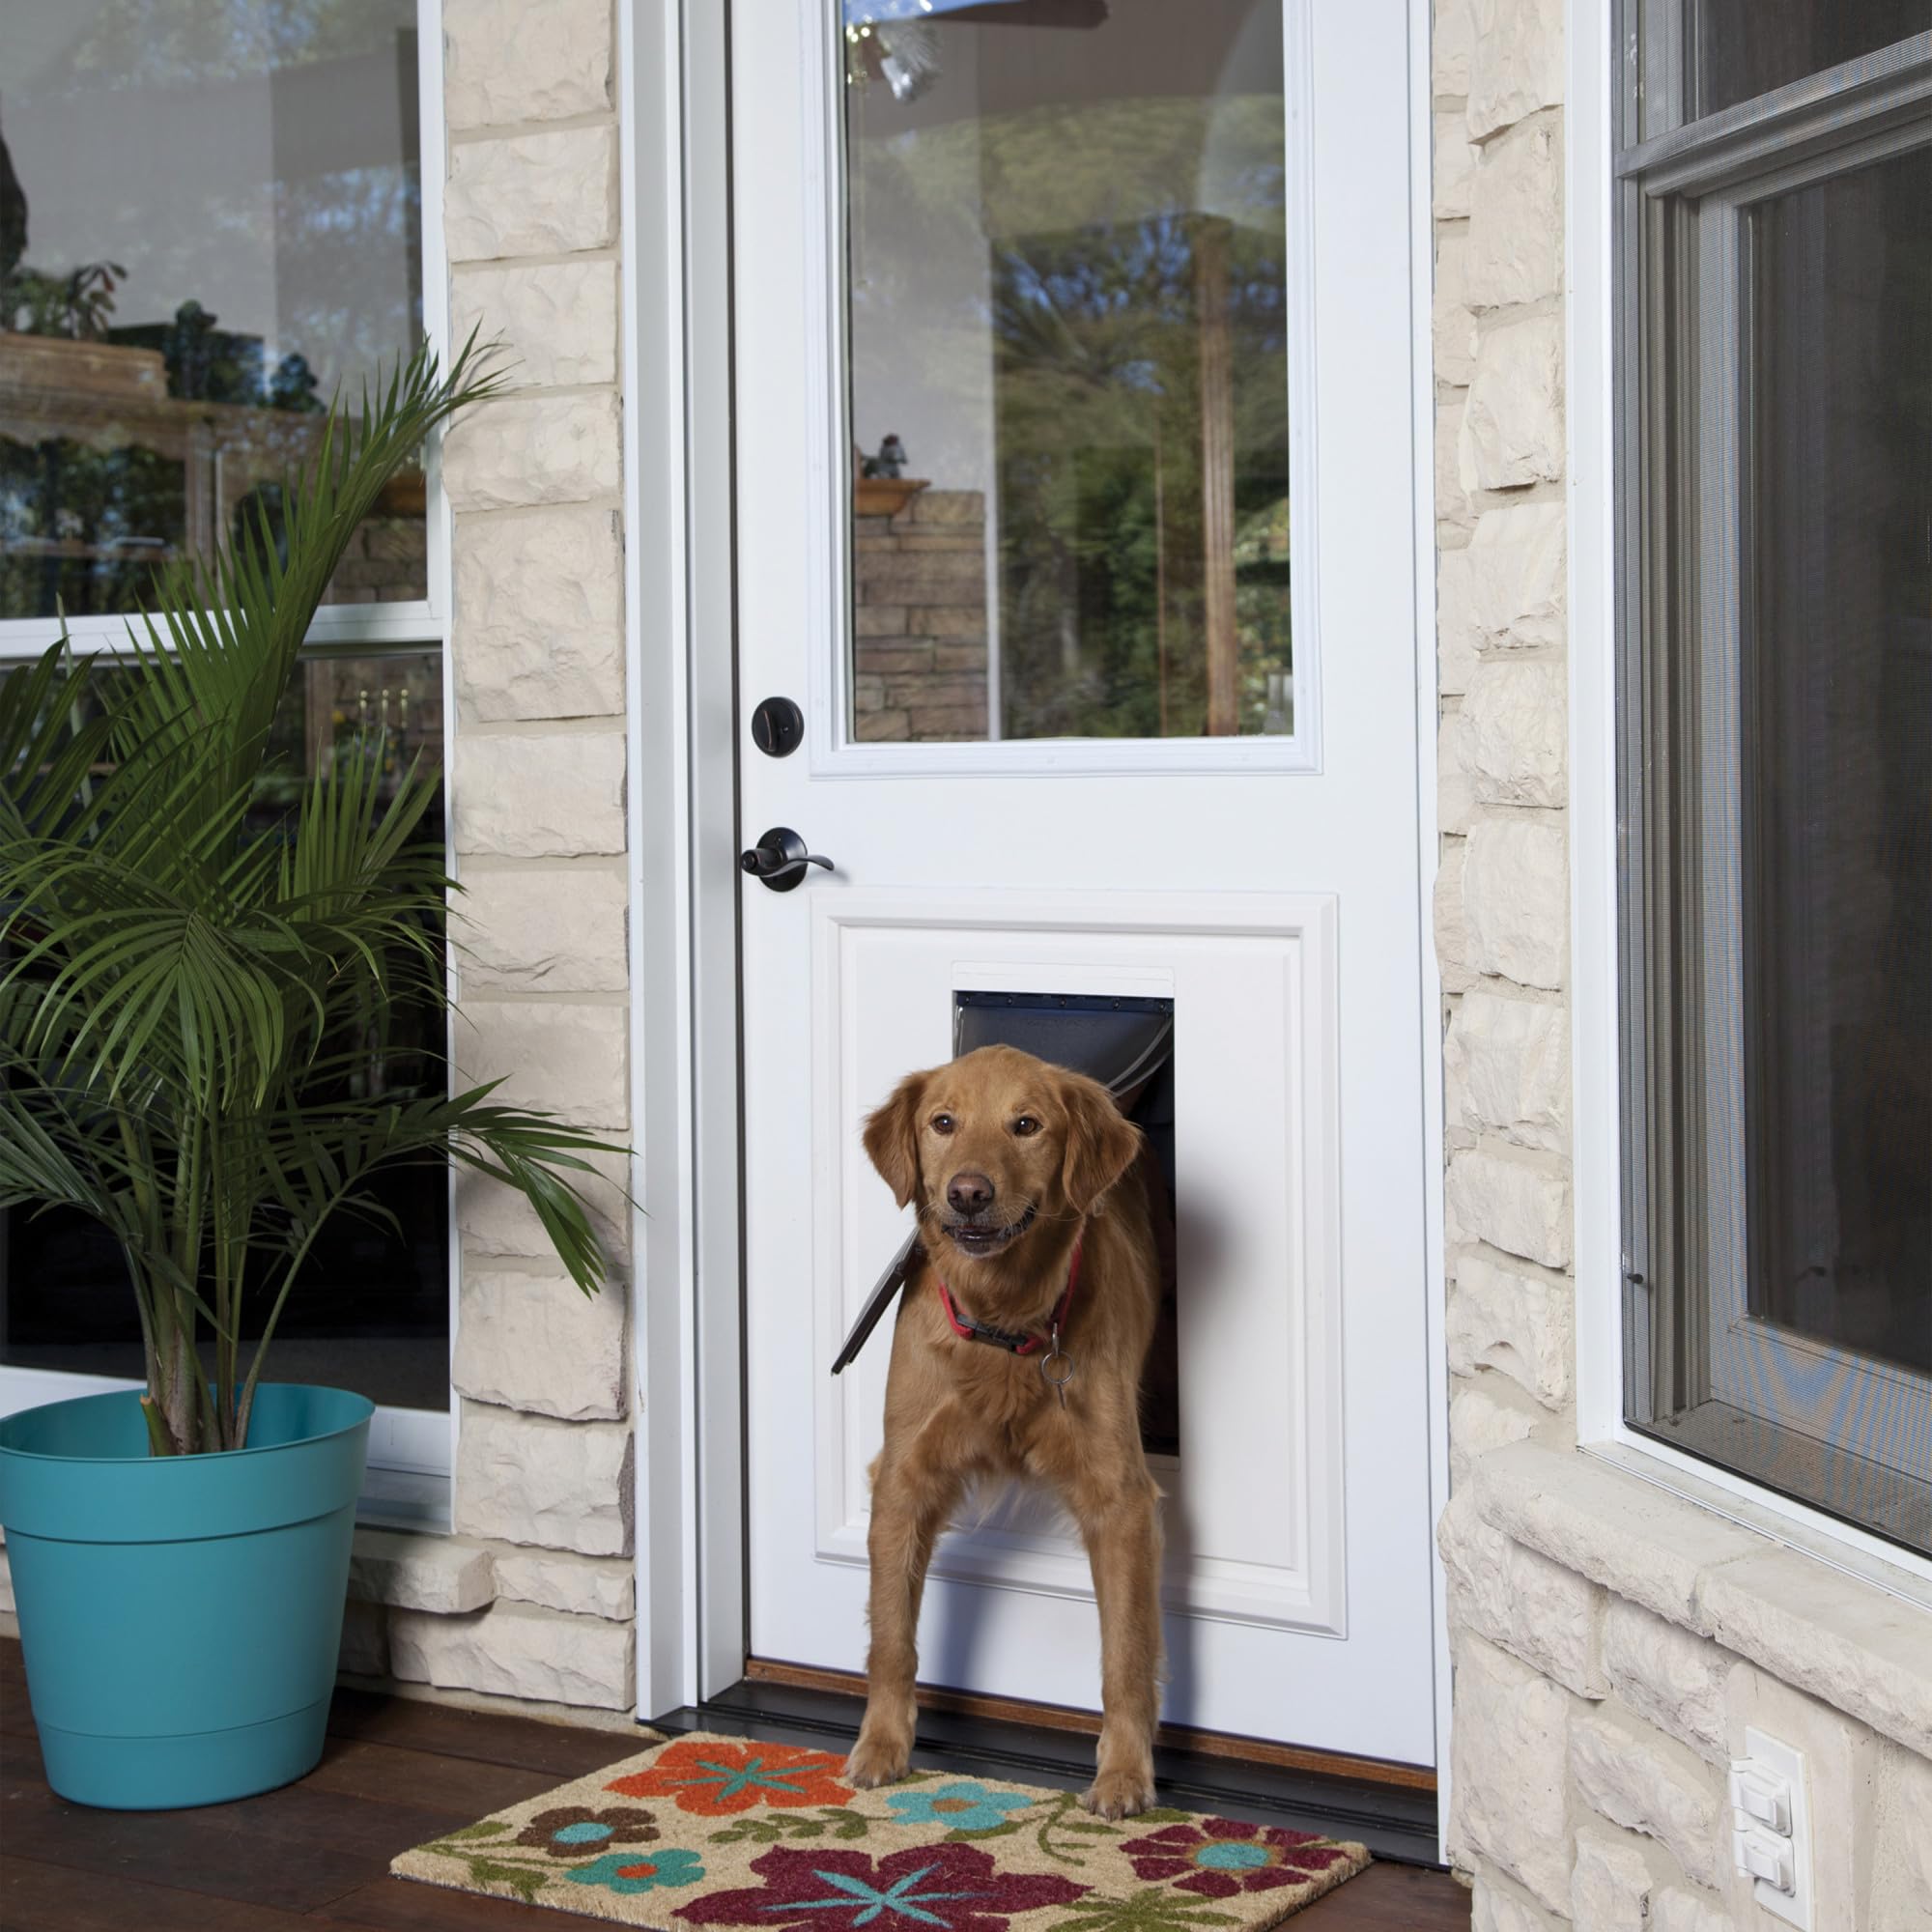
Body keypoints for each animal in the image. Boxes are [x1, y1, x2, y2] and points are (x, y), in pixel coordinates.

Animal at [850, 1043, 1159, 1808]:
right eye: (943, 1123)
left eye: (1026, 1125)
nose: (968, 1192)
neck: (1004, 1321)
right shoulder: (902, 1480)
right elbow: (891, 1634)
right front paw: (881, 1745)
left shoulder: (1122, 1500)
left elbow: (1126, 1652)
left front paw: (1124, 1772)